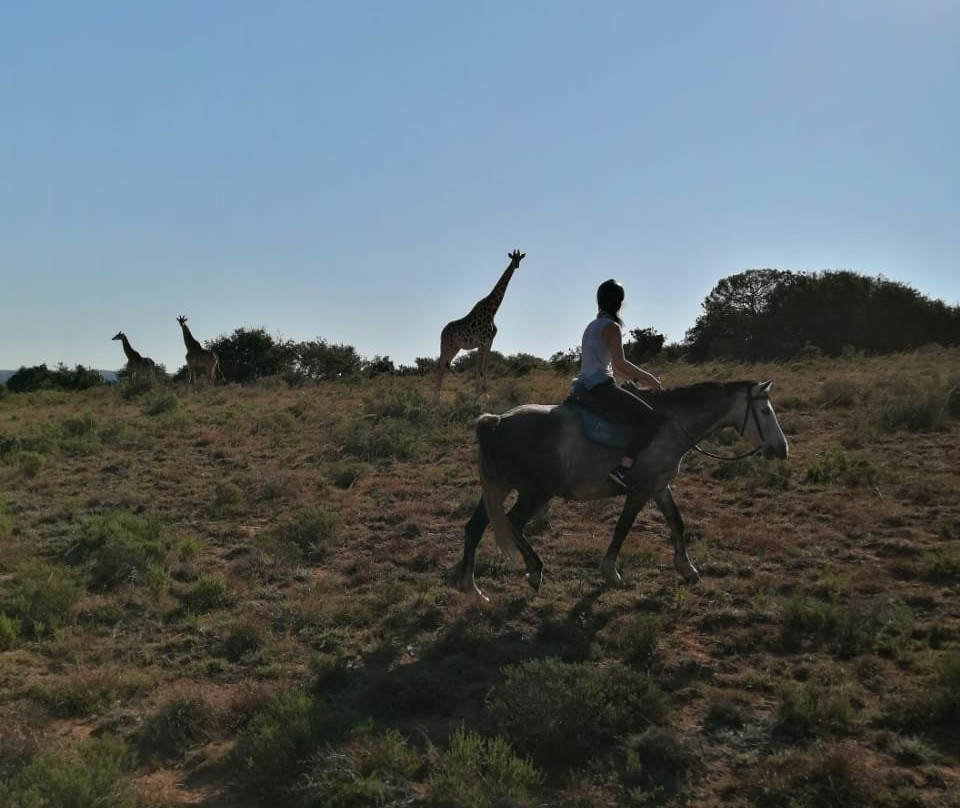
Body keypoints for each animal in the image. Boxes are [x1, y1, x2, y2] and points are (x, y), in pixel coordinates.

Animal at [457, 380, 789, 601]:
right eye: (765, 411)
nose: (782, 449)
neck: (670, 424)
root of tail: (497, 420)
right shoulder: (640, 490)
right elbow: (623, 528)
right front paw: (611, 572)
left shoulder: (660, 485)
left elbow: (676, 522)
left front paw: (687, 569)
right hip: (534, 493)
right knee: (512, 523)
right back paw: (534, 570)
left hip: (500, 487)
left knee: (475, 527)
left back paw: (473, 590)